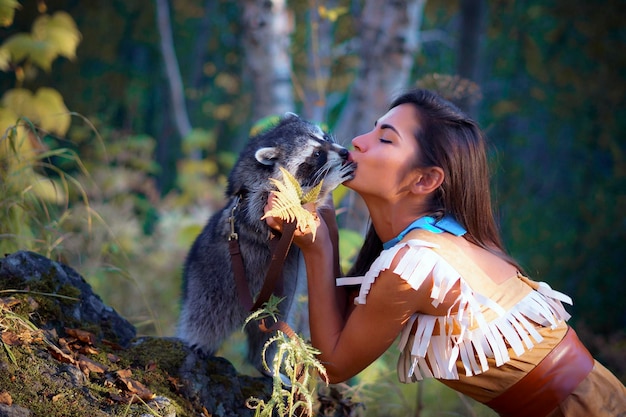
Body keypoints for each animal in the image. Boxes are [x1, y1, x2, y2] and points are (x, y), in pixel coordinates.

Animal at [178, 112, 354, 372]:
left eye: (324, 138)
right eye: (316, 154)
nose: (344, 152)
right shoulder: (258, 199)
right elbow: (285, 209)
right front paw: (327, 182)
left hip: (279, 296)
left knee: (270, 331)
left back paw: (265, 366)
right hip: (209, 281)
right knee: (204, 316)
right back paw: (196, 341)